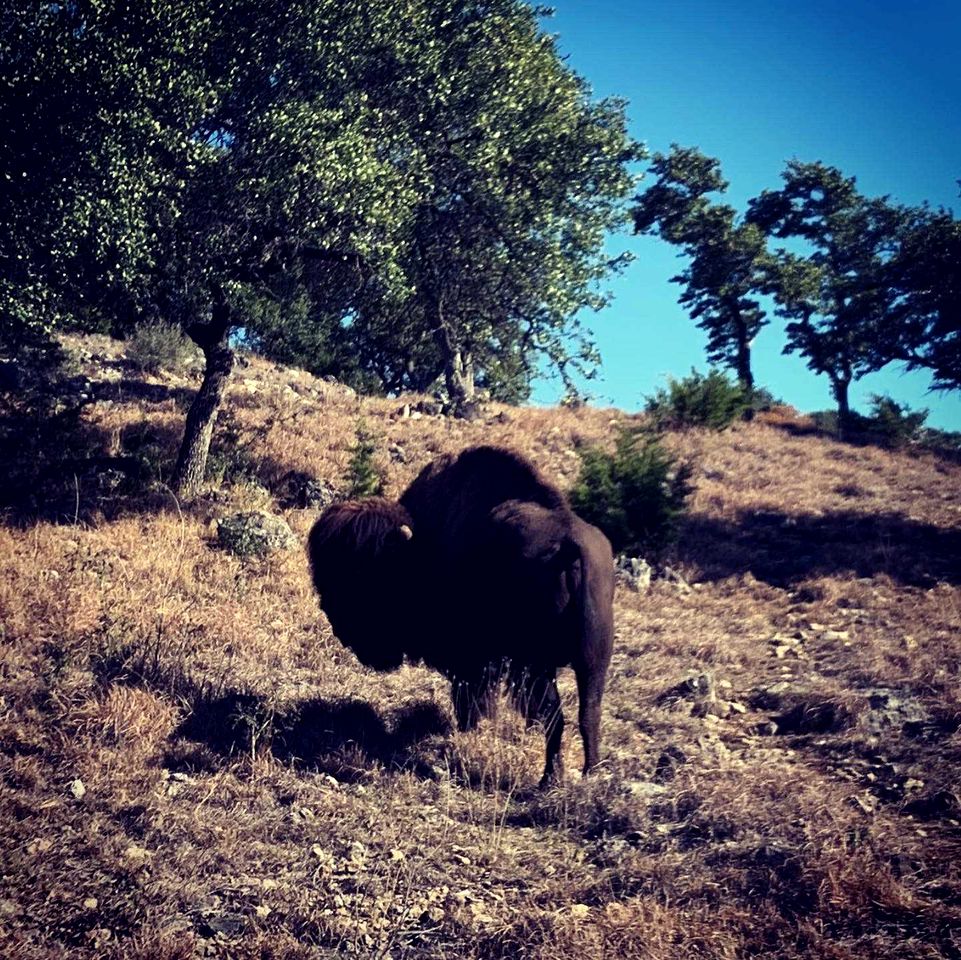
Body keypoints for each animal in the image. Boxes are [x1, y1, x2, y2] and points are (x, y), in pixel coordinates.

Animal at [316, 446, 616, 784]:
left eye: (363, 575)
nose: (337, 622)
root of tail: (569, 546)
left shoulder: (471, 660)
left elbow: (469, 698)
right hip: (589, 662)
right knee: (586, 714)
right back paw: (584, 774)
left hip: (537, 664)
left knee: (555, 715)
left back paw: (549, 778)